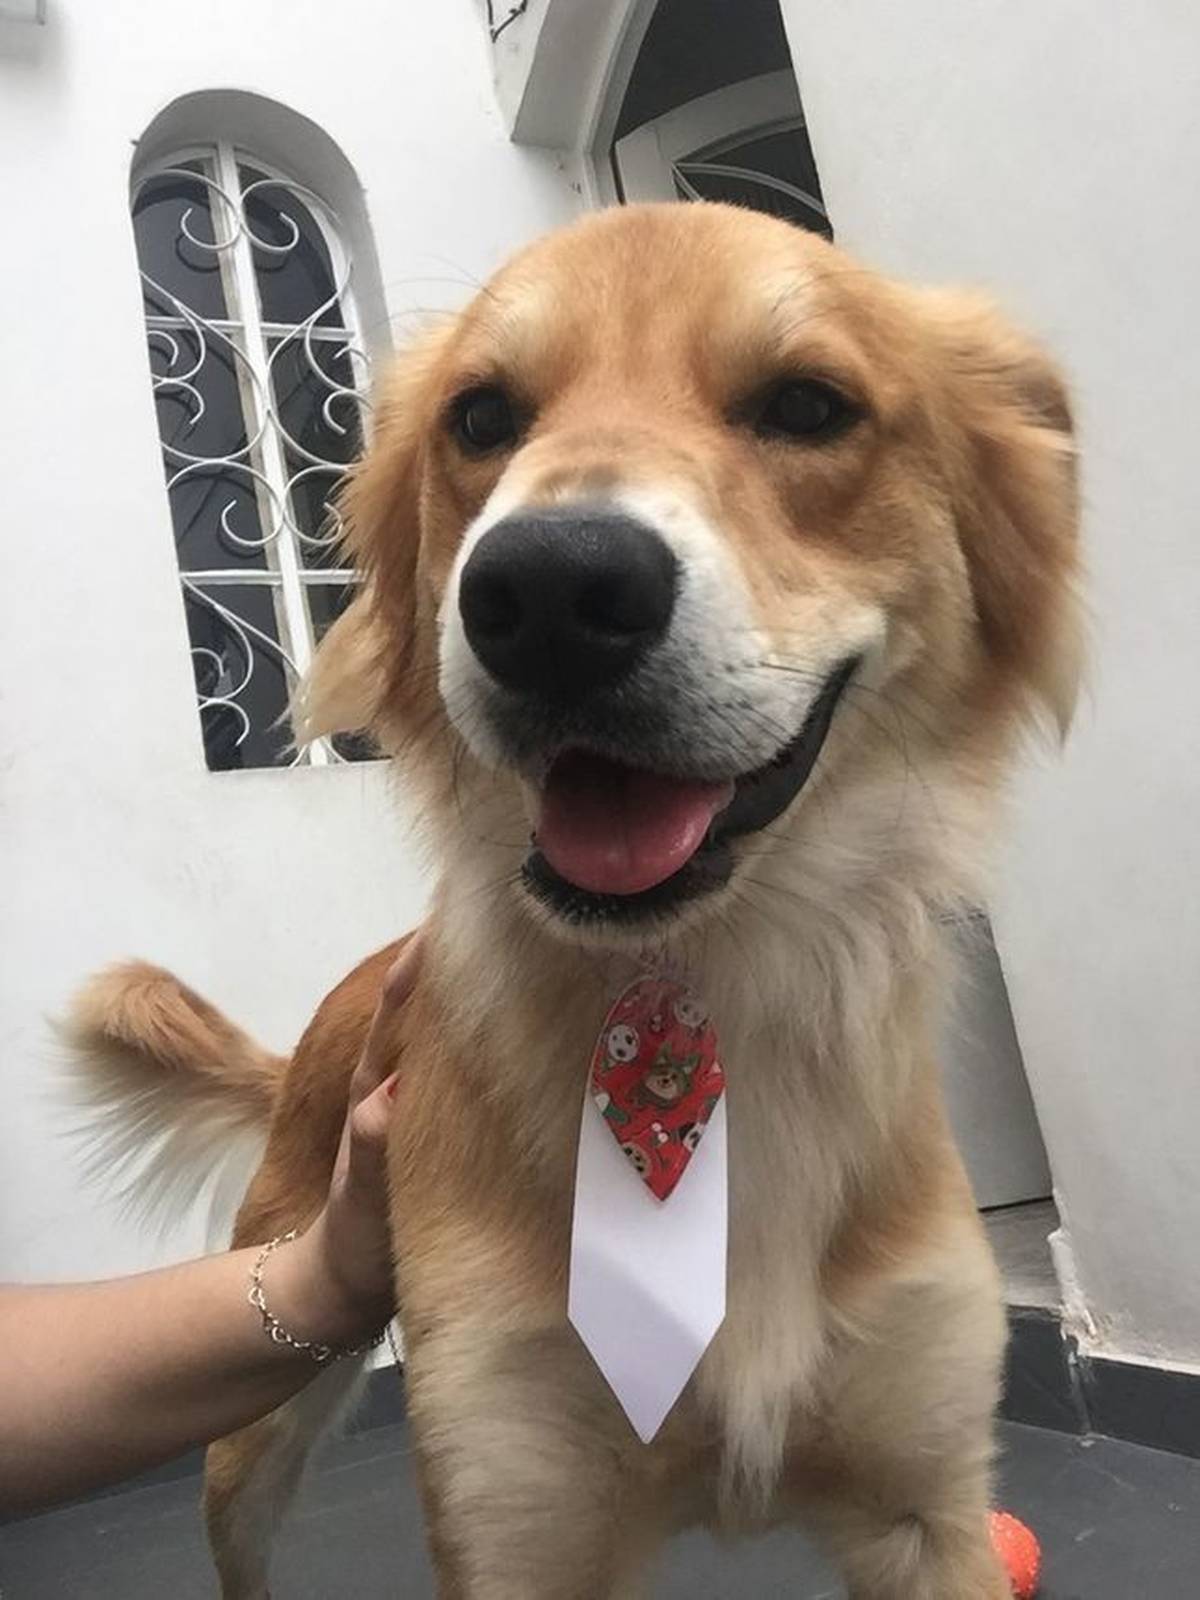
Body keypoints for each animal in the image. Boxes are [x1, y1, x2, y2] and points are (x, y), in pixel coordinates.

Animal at [68, 201, 1080, 1598]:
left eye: (807, 405)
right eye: (483, 417)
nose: (547, 591)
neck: (706, 979)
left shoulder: (930, 1508)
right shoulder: (513, 1508)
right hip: (256, 1413)